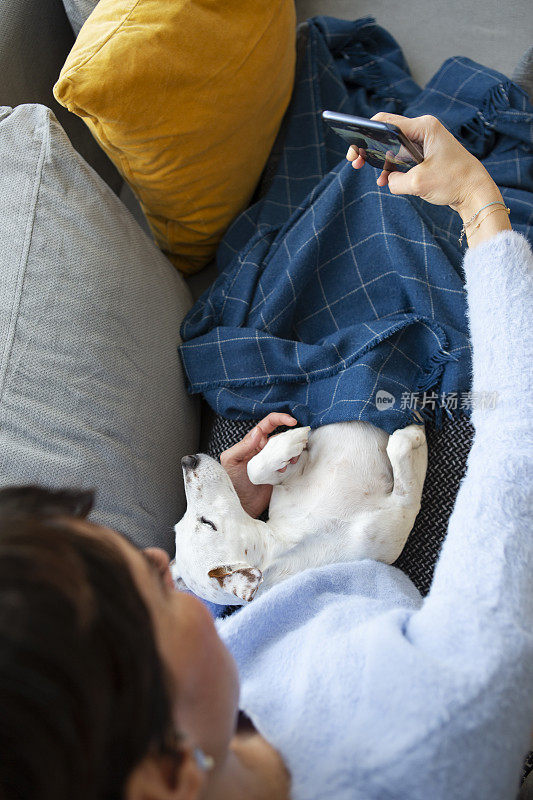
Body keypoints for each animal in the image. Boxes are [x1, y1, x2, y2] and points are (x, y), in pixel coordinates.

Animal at [171, 422, 428, 604]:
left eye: (178, 525)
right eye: (208, 523)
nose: (187, 460)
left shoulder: (289, 477)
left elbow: (254, 470)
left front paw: (286, 441)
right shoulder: (400, 514)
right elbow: (403, 454)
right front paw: (416, 435)